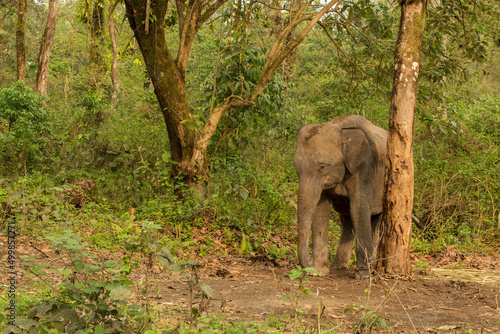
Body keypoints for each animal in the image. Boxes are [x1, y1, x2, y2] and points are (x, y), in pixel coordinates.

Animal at [292, 115, 386, 280]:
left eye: (322, 167)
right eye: (296, 166)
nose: (308, 265)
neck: (339, 127)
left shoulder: (364, 167)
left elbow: (359, 208)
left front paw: (362, 275)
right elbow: (321, 209)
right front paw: (318, 271)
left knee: (375, 220)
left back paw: (370, 267)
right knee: (347, 218)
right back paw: (338, 267)